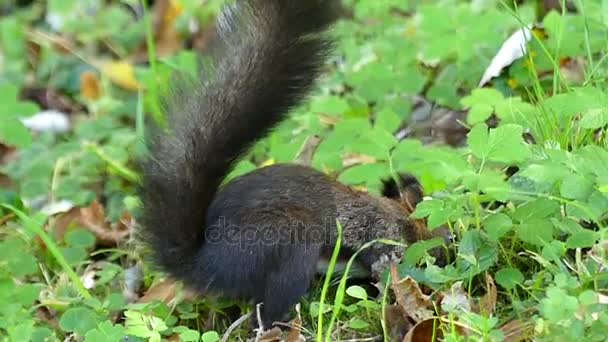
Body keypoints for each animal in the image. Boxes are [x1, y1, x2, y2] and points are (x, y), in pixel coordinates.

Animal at [140, 0, 448, 330]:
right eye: (441, 234)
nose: (449, 251)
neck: (398, 217)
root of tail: (206, 263)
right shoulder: (377, 237)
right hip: (289, 242)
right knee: (266, 310)